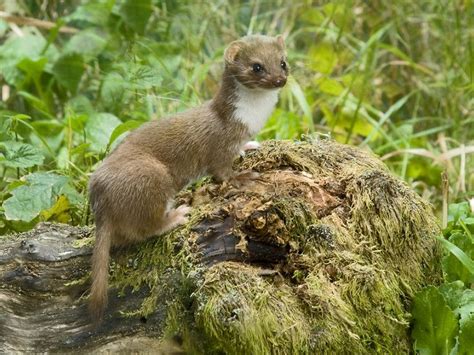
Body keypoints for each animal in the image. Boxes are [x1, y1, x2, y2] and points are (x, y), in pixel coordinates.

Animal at [89, 34, 288, 322]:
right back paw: (176, 215)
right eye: (257, 66)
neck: (251, 119)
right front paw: (244, 177)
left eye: (283, 62)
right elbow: (222, 171)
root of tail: (98, 193)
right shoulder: (219, 146)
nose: (279, 80)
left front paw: (249, 146)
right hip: (153, 176)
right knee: (144, 228)